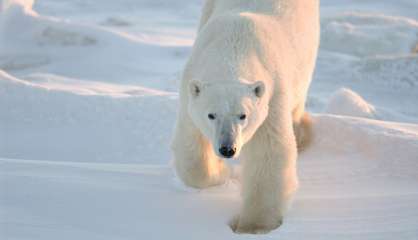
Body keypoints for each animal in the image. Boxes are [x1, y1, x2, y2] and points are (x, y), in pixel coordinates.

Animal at [171, 0, 318, 233]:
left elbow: (268, 152)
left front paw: (253, 226)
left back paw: (301, 133)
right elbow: (191, 145)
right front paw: (220, 173)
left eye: (243, 115)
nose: (227, 149)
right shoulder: (190, 86)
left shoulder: (272, 94)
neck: (235, 45)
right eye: (211, 115)